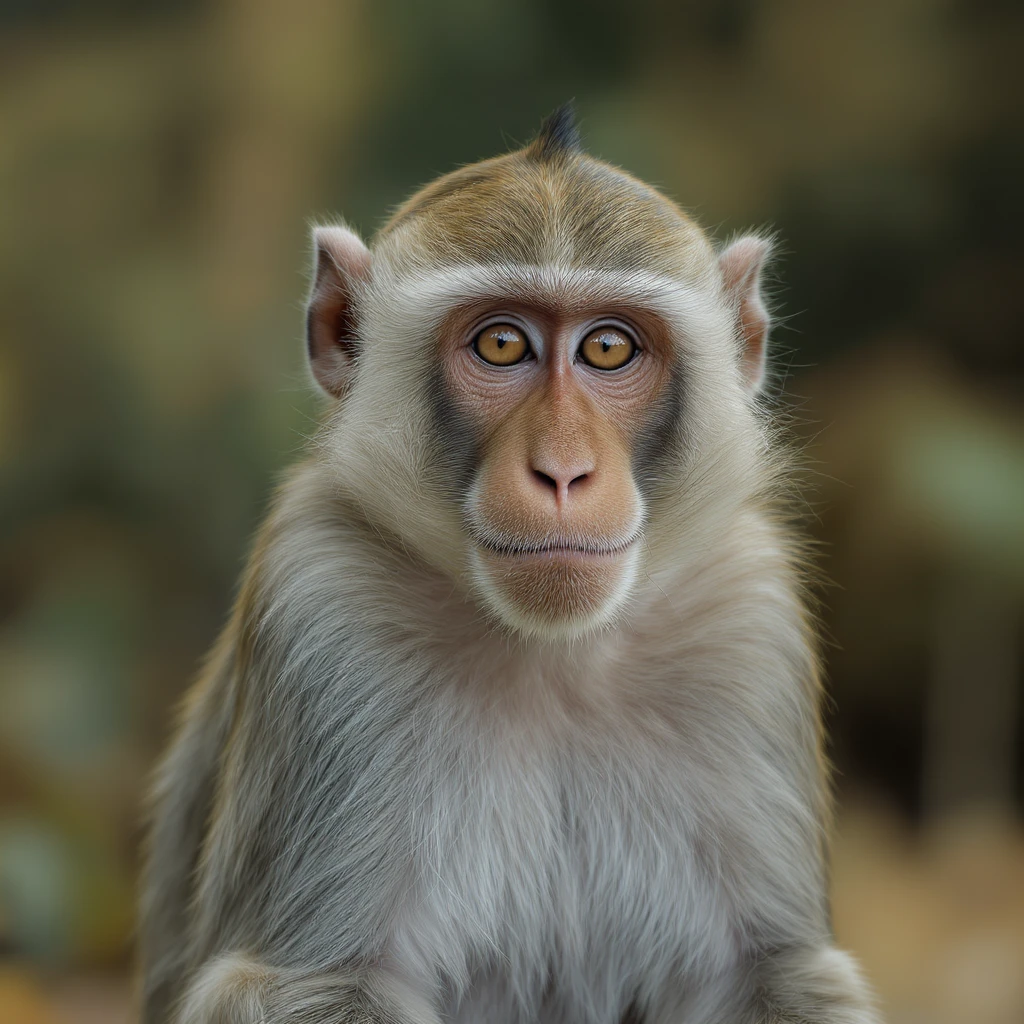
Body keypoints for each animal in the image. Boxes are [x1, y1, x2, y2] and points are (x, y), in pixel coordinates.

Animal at [138, 106, 881, 1024]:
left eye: (607, 349)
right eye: (500, 344)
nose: (562, 472)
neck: (551, 654)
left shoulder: (747, 618)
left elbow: (774, 976)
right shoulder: (320, 604)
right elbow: (309, 984)